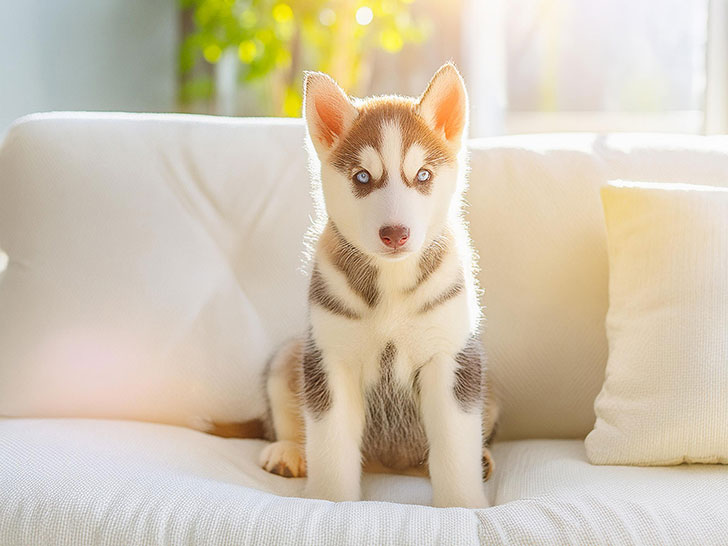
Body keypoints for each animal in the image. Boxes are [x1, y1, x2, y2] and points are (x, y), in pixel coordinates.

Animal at [258, 65, 498, 510]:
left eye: (423, 175)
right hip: (289, 356)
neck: (391, 283)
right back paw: (288, 451)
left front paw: (464, 504)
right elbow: (330, 446)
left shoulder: (452, 357)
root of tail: (390, 465)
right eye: (363, 177)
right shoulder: (329, 359)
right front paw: (329, 500)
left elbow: (455, 447)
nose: (395, 234)